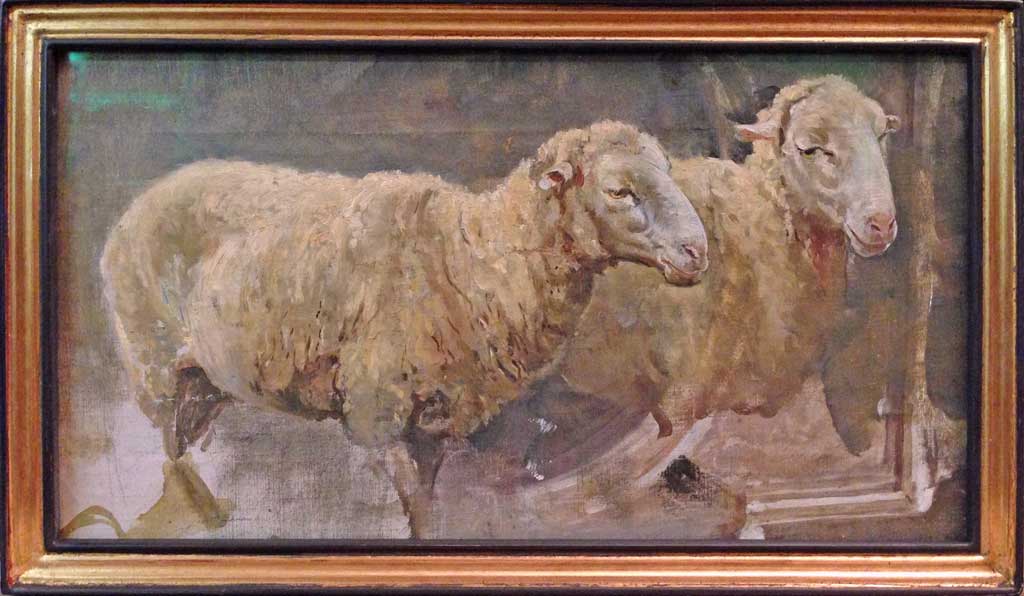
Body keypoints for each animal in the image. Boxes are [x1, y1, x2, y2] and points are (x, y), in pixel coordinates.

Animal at [100, 120, 708, 537]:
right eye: (619, 191)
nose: (697, 252)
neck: (470, 257)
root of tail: (143, 199)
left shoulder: (436, 421)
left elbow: (426, 507)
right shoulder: (378, 413)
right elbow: (412, 501)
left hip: (205, 383)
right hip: (154, 368)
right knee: (172, 457)